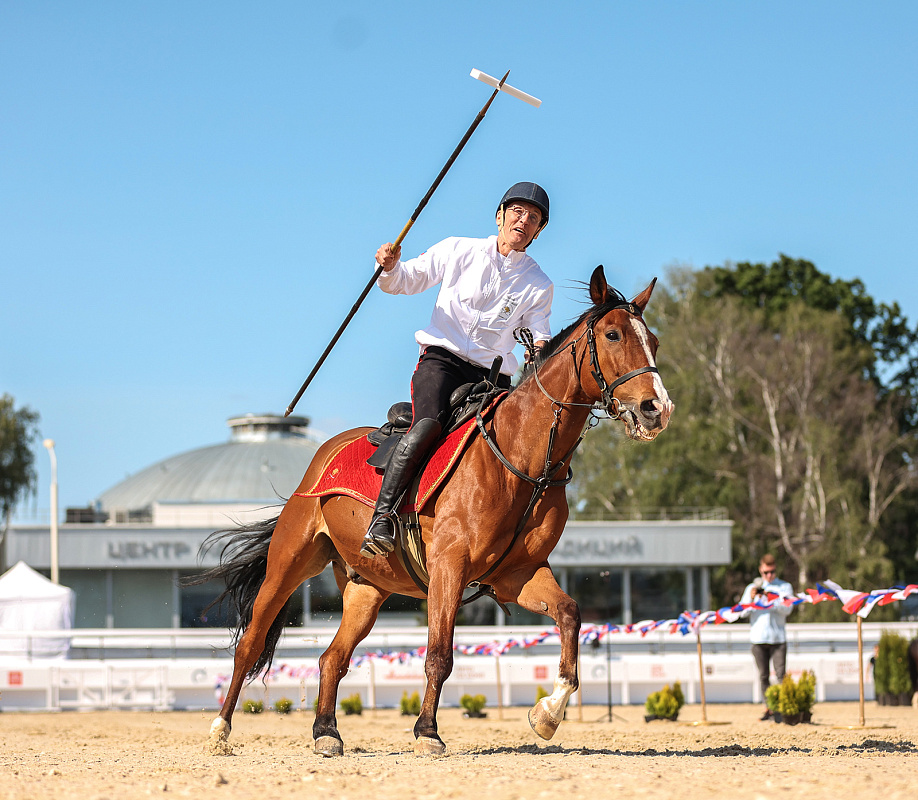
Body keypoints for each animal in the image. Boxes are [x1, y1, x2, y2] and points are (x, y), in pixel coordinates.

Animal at [198, 268, 672, 756]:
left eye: (653, 340)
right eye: (613, 335)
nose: (657, 409)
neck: (521, 459)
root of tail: (323, 454)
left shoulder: (518, 574)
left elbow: (571, 615)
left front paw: (547, 713)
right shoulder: (449, 566)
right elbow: (439, 655)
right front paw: (427, 731)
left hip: (367, 590)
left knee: (333, 658)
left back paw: (326, 731)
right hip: (289, 562)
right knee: (250, 643)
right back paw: (220, 729)